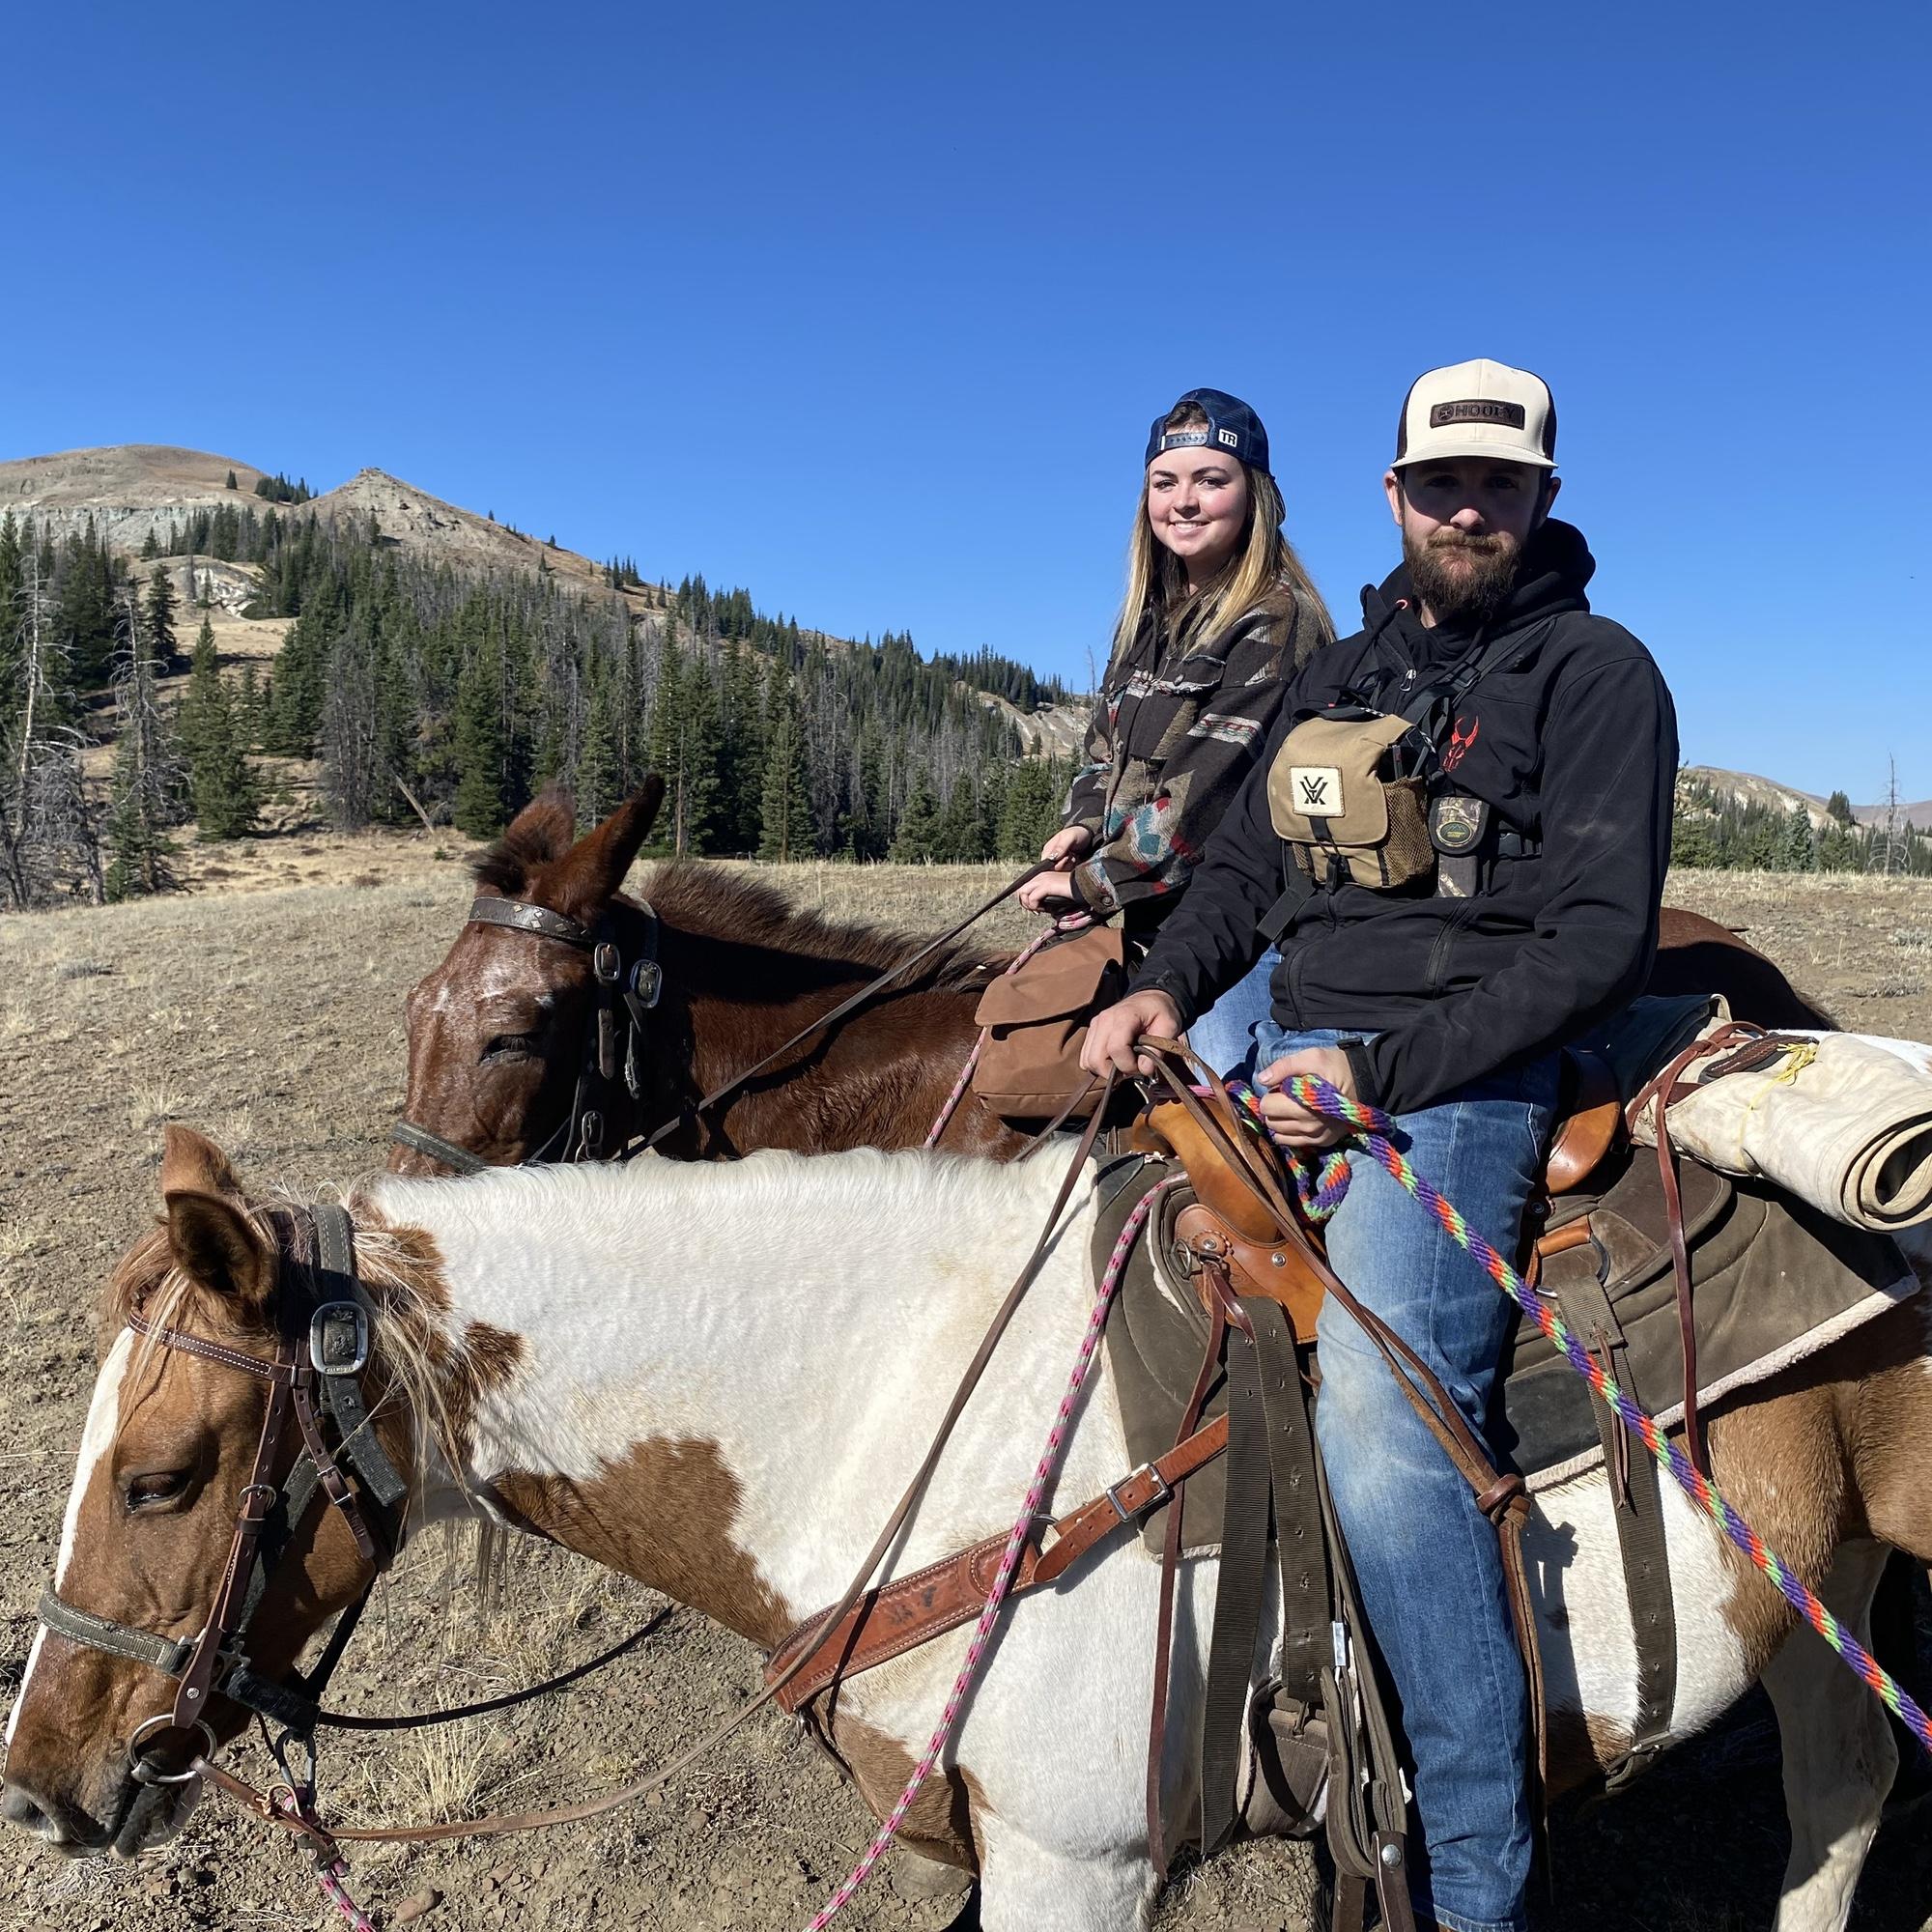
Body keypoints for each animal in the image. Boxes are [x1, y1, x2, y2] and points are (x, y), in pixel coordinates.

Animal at [6, 1127, 1927, 1931]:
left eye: (162, 1474)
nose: (41, 1787)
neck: (906, 1408)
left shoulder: (1078, 1867)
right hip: (1820, 1584)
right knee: (1843, 1793)